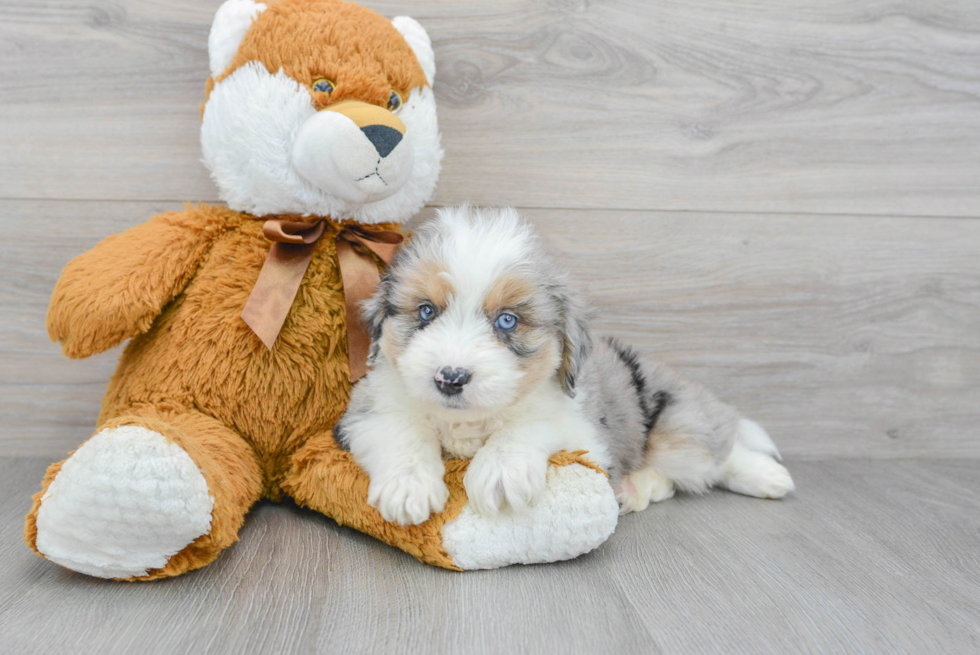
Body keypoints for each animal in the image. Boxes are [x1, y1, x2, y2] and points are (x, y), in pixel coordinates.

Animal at [336, 208, 796, 524]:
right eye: (427, 311)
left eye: (508, 321)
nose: (450, 378)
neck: (467, 423)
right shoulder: (366, 411)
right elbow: (402, 432)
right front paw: (407, 488)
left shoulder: (581, 427)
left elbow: (527, 426)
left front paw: (500, 473)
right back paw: (634, 489)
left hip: (680, 432)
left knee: (717, 450)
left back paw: (769, 477)